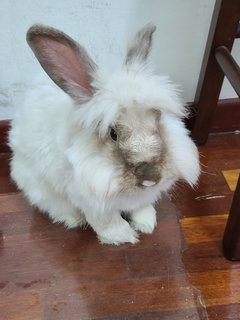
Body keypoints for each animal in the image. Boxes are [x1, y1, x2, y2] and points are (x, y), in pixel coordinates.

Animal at [8, 23, 200, 245]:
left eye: (158, 120)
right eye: (113, 134)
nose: (150, 177)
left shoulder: (140, 198)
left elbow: (140, 207)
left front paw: (146, 223)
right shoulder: (92, 200)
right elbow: (107, 221)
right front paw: (123, 236)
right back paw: (73, 218)